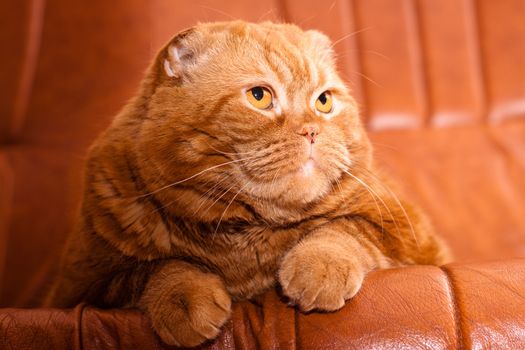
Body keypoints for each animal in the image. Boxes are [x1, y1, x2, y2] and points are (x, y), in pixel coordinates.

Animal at [44, 21, 446, 348]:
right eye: (259, 96)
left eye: (324, 101)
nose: (312, 130)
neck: (246, 236)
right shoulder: (86, 283)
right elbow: (157, 268)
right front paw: (184, 298)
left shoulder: (405, 234)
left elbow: (345, 229)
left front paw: (320, 266)